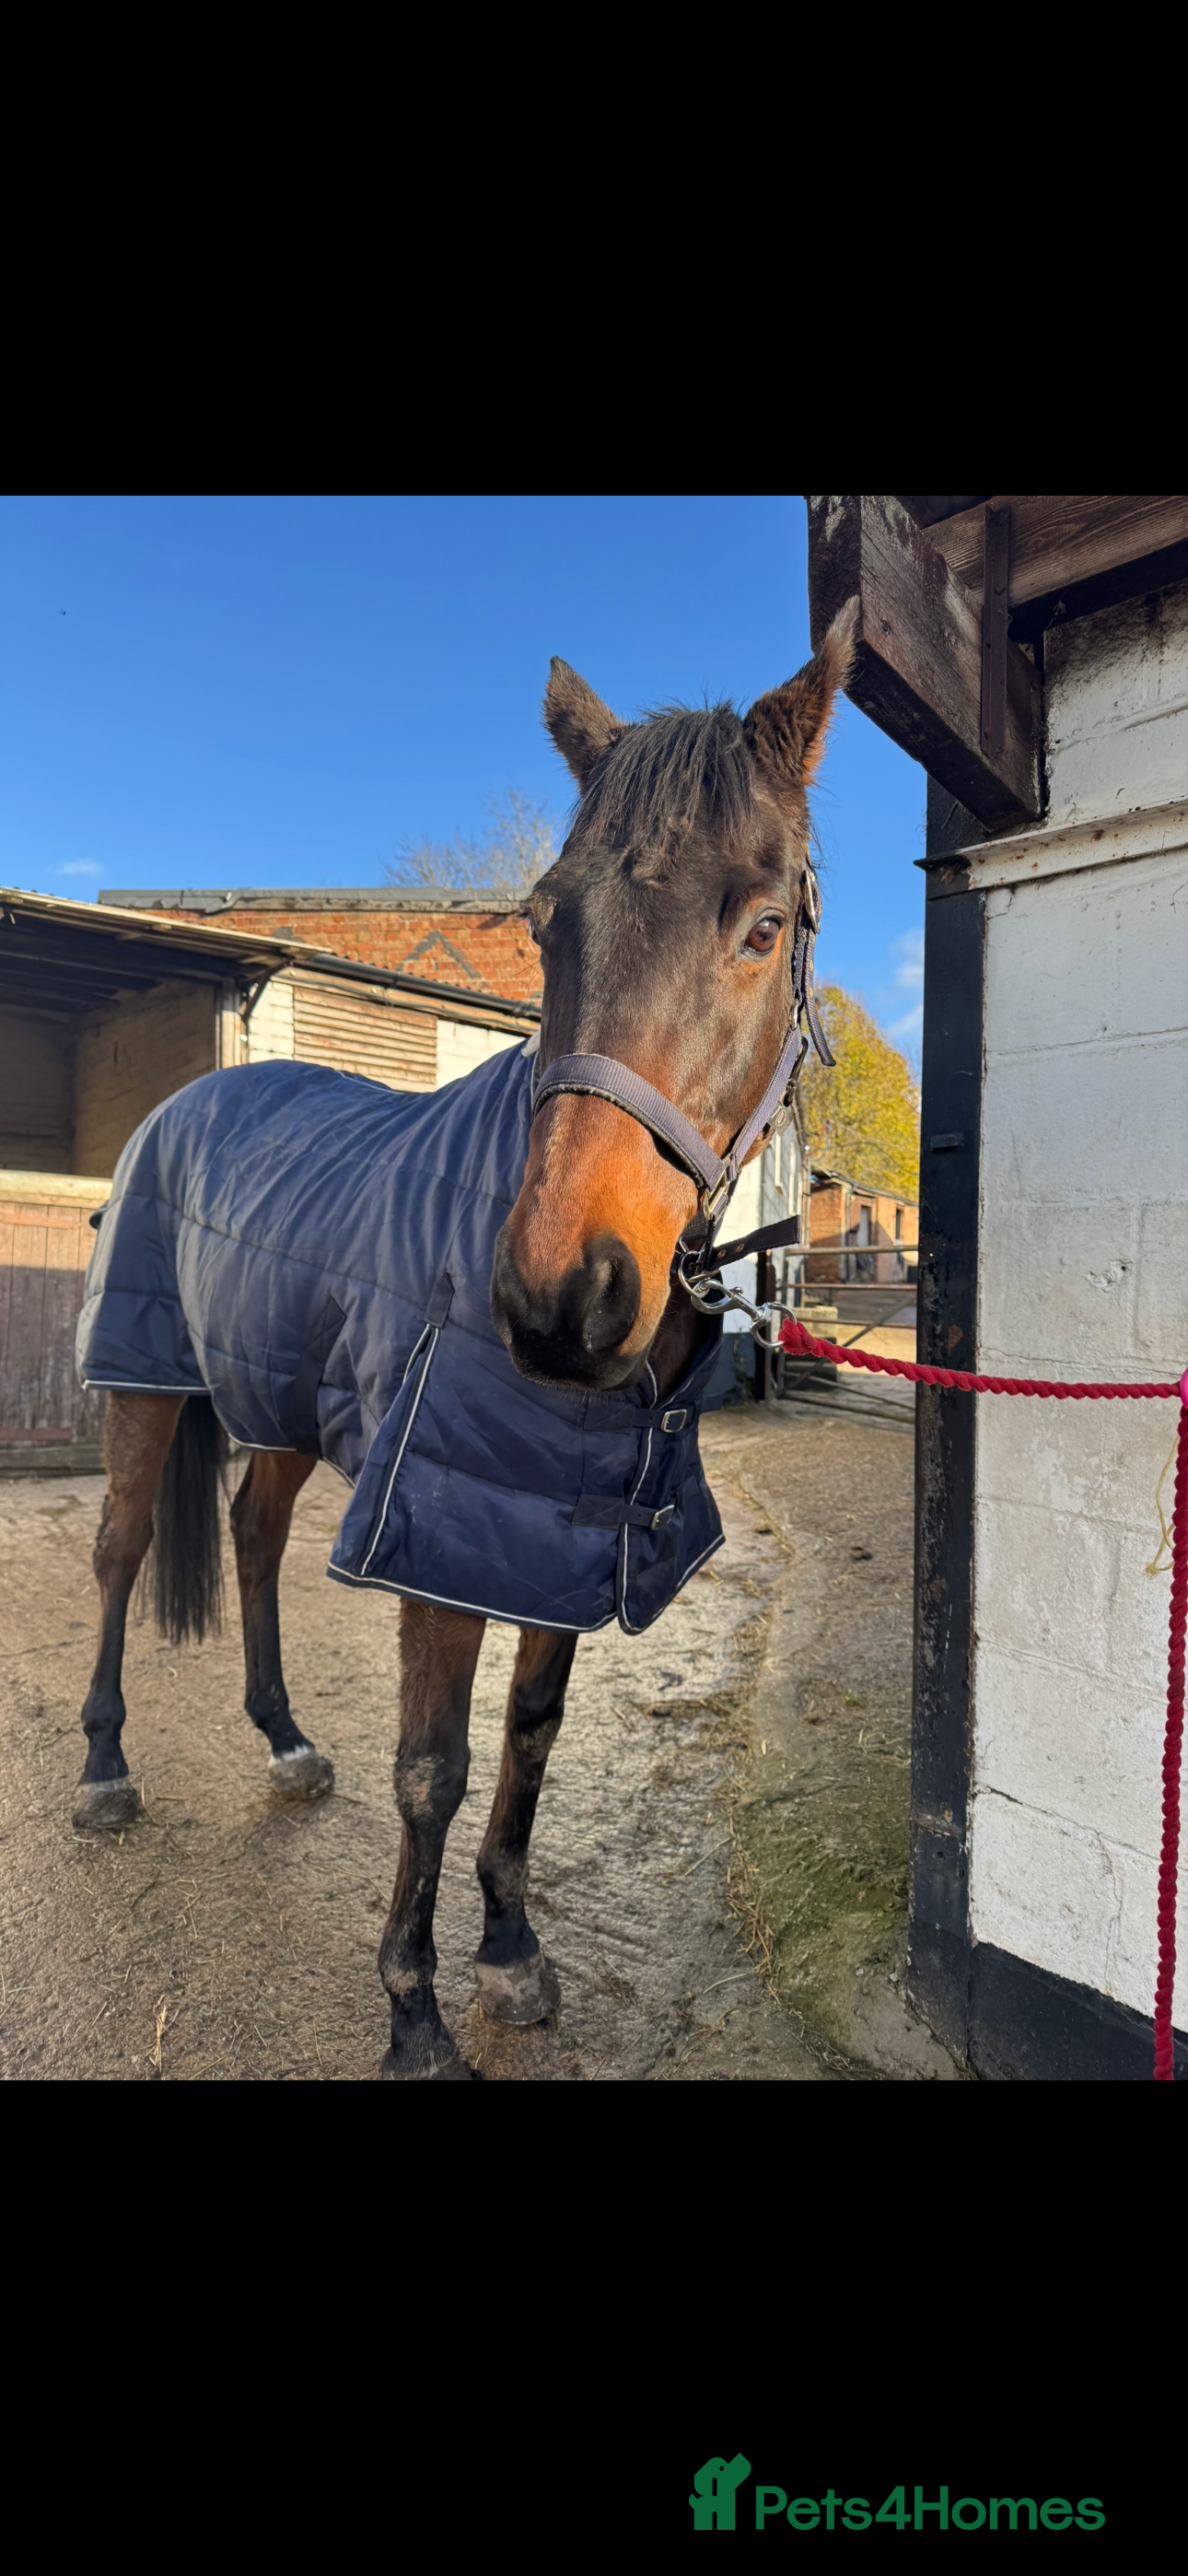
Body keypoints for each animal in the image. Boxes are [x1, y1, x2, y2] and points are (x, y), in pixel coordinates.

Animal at [71, 611, 853, 2079]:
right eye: (547, 922)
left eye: (764, 926)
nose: (558, 1296)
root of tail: (193, 1099)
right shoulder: (434, 1528)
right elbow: (432, 1768)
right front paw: (414, 2011)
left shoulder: (559, 1528)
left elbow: (529, 1741)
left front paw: (508, 1949)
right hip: (143, 1386)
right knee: (121, 1552)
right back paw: (102, 1770)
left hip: (283, 1408)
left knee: (252, 1534)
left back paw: (283, 1742)